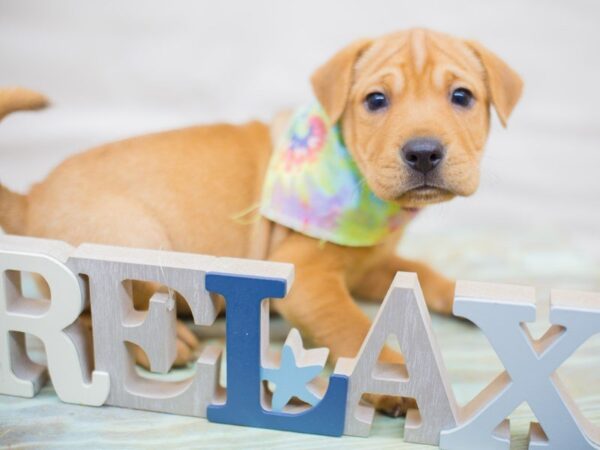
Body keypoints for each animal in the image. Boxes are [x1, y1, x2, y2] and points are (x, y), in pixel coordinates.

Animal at [0, 28, 520, 414]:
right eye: (375, 101)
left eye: (461, 96)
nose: (424, 152)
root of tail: (32, 194)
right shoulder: (307, 277)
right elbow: (354, 327)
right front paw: (394, 380)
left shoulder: (370, 265)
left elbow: (423, 273)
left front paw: (460, 295)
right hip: (135, 240)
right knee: (89, 318)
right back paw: (163, 342)